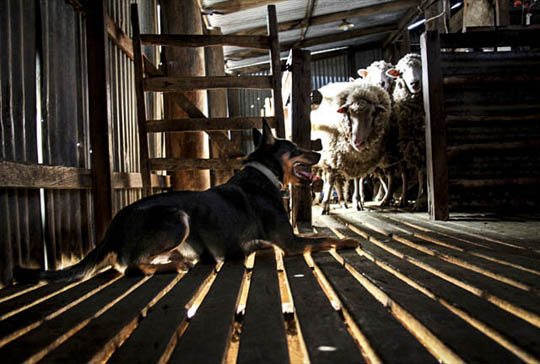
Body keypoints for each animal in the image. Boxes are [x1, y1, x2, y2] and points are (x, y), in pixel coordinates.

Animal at [13, 120, 358, 284]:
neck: (263, 175)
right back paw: (177, 264)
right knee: (133, 267)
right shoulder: (290, 242)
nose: (320, 151)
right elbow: (325, 239)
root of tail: (111, 229)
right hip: (177, 217)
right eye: (296, 148)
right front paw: (350, 241)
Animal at [312, 81, 392, 215]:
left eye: (373, 113)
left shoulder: (358, 163)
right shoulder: (331, 159)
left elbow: (357, 180)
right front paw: (325, 206)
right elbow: (329, 182)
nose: (358, 143)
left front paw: (357, 201)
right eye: (349, 113)